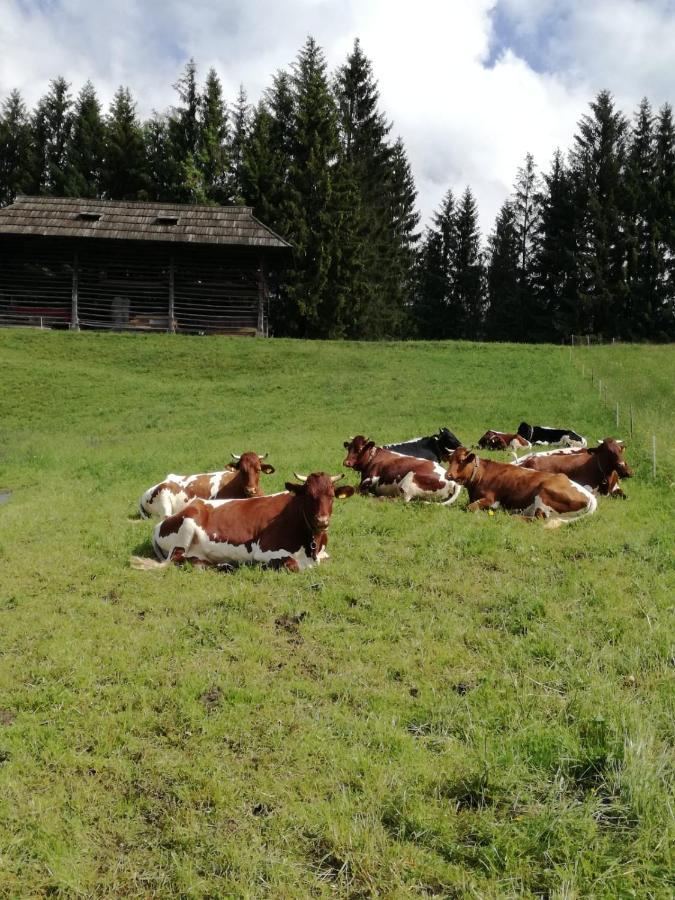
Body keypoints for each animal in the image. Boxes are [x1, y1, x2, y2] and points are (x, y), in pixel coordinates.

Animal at [132, 472, 356, 568]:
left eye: (332, 495)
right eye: (308, 495)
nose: (322, 521)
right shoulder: (264, 550)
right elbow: (292, 564)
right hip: (186, 526)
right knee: (177, 558)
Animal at [448, 446, 596, 524]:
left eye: (461, 461)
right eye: (450, 460)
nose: (448, 475)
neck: (482, 473)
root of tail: (591, 497)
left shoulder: (491, 499)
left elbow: (470, 507)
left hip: (544, 494)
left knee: (538, 518)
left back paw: (513, 516)